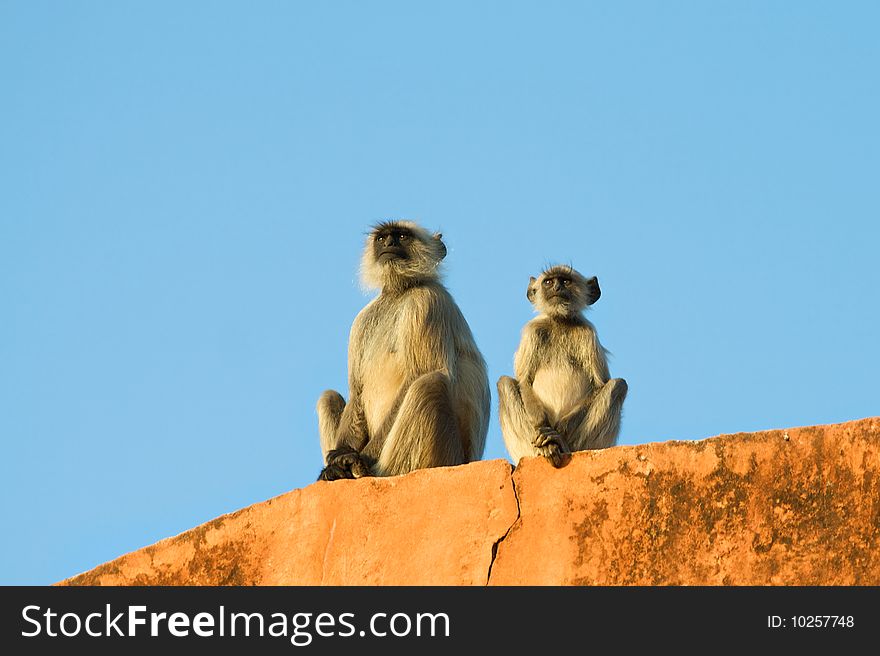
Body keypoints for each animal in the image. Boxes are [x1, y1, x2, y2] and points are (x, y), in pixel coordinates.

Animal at [316, 220, 492, 482]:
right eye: (382, 238)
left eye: (401, 236)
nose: (389, 244)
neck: (400, 292)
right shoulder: (360, 321)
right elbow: (357, 392)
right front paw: (338, 460)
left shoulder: (426, 302)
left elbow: (420, 373)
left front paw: (357, 458)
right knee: (328, 396)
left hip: (443, 457)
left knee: (429, 383)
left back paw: (365, 468)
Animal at [496, 264, 632, 468]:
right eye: (548, 282)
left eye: (566, 281)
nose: (557, 288)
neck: (560, 321)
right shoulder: (533, 331)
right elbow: (524, 382)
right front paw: (545, 432)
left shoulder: (587, 333)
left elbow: (600, 384)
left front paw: (559, 432)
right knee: (504, 383)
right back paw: (545, 449)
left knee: (618, 385)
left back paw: (562, 444)